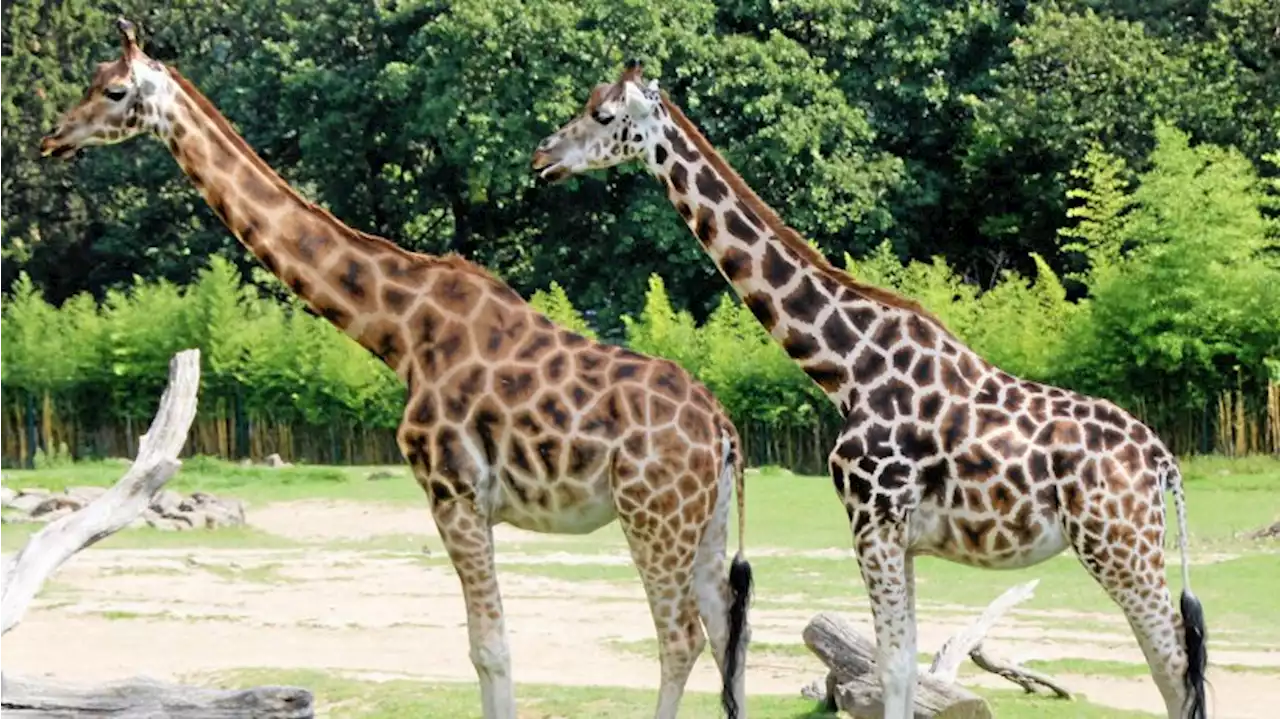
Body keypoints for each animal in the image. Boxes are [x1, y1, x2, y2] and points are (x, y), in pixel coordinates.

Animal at [45, 22, 752, 716]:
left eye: (112, 90)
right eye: (90, 81)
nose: (54, 136)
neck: (399, 332)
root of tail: (723, 431)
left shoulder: (454, 492)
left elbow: (489, 649)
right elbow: (489, 647)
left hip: (652, 515)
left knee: (680, 637)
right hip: (703, 522)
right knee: (726, 629)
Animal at [529, 58, 1208, 711]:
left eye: (603, 114)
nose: (541, 157)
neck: (847, 367)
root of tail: (1163, 462)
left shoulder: (873, 519)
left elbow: (893, 667)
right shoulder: (899, 538)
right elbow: (902, 664)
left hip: (1119, 547)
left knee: (1175, 668)